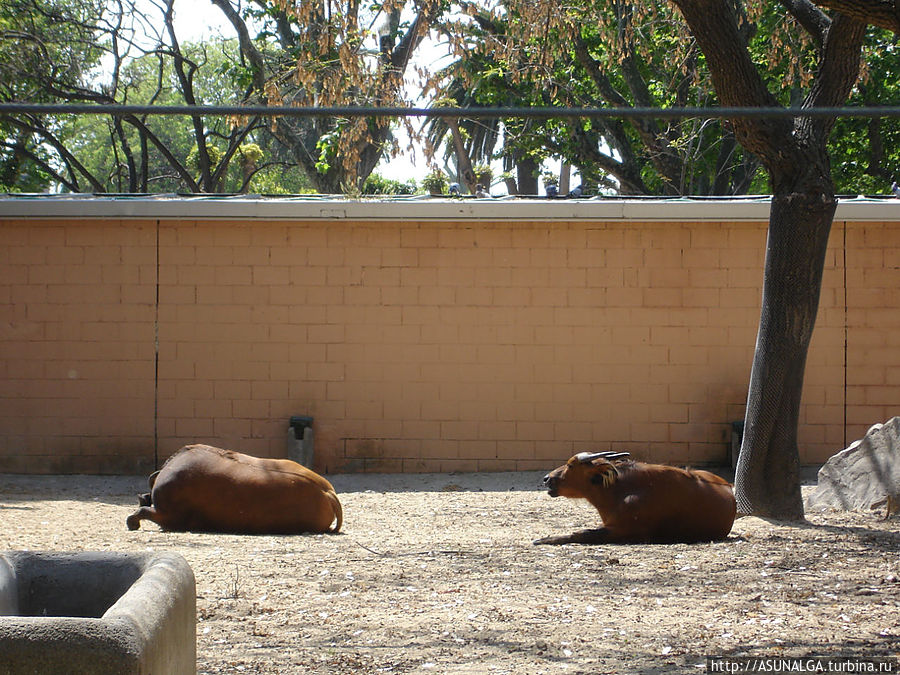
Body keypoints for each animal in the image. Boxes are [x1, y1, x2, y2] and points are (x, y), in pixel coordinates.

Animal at [532, 452, 736, 548]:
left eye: (571, 465)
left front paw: (542, 540)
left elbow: (582, 534)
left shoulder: (624, 531)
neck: (619, 490)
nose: (547, 478)